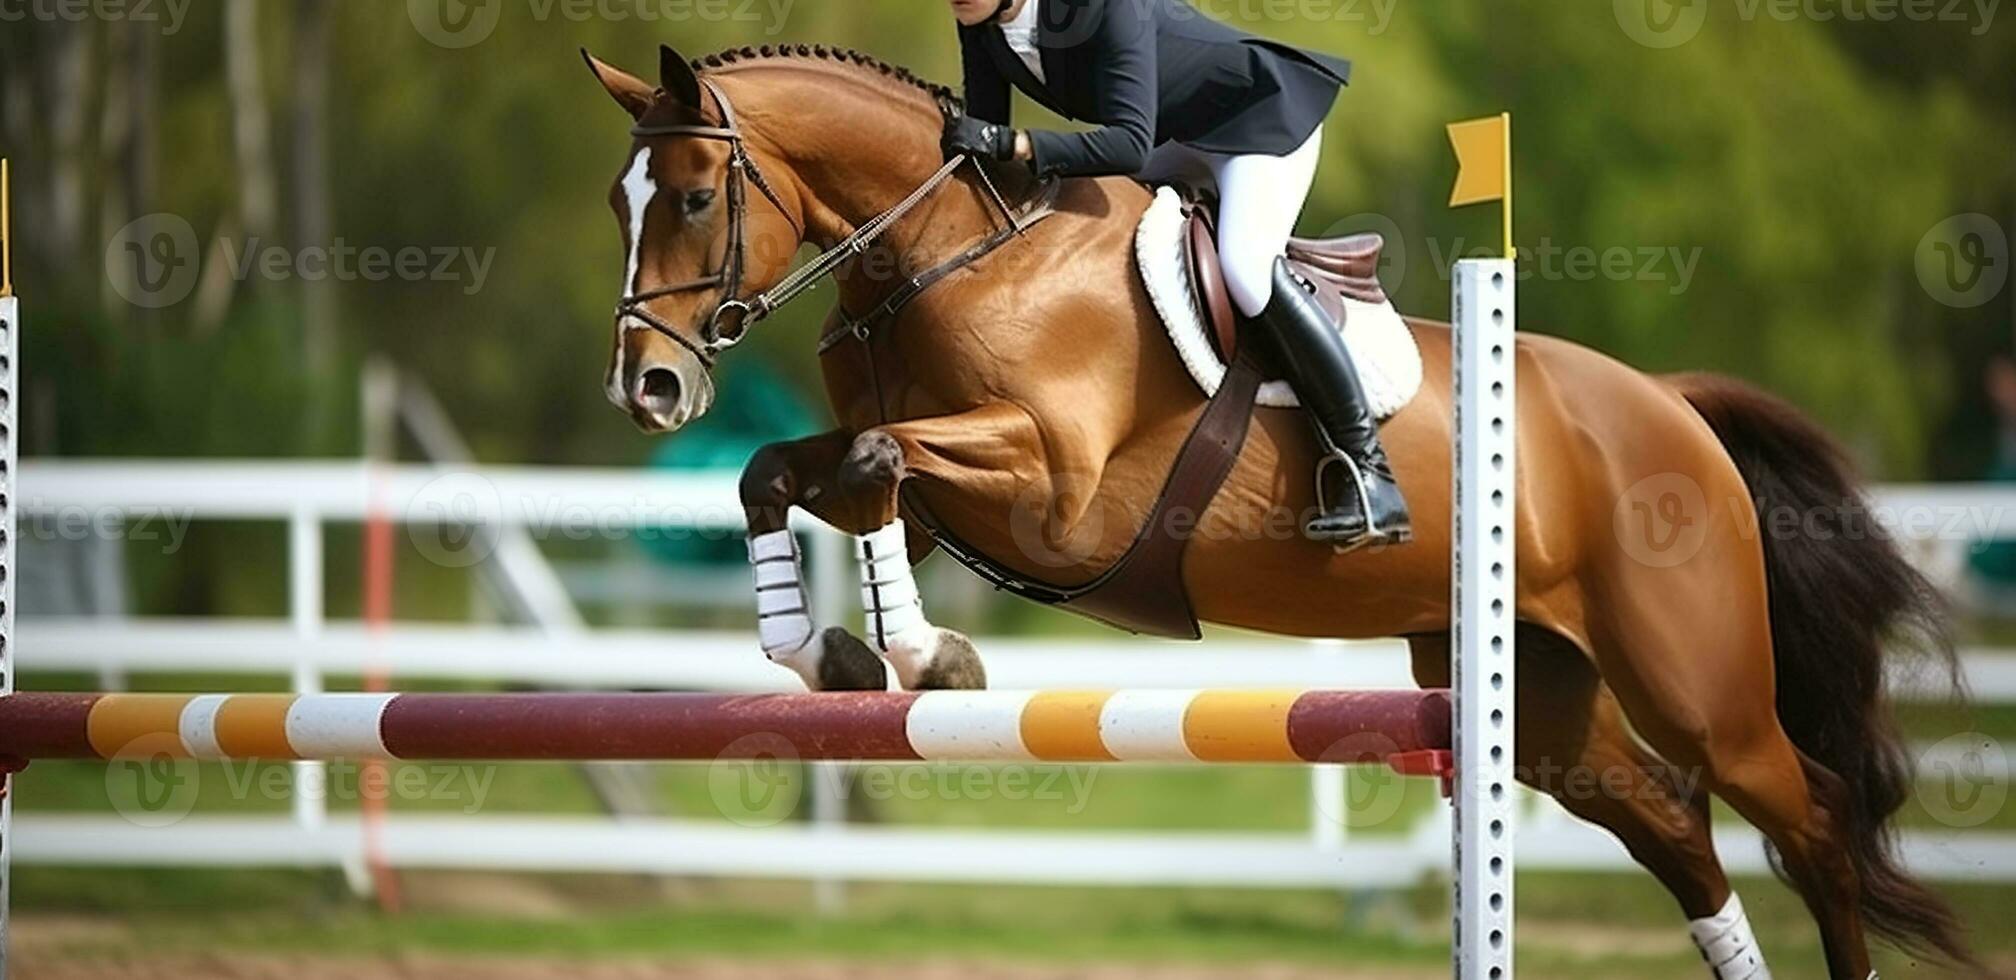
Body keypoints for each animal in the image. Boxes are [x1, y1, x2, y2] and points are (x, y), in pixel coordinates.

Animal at [584, 44, 1967, 971]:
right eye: (617, 204)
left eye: (696, 196)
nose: (646, 389)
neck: (950, 254)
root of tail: (1668, 406)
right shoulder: (933, 497)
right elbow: (788, 473)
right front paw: (822, 649)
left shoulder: (1055, 490)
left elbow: (875, 461)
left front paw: (928, 654)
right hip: (1542, 697)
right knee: (1679, 831)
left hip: (1698, 683)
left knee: (1813, 823)